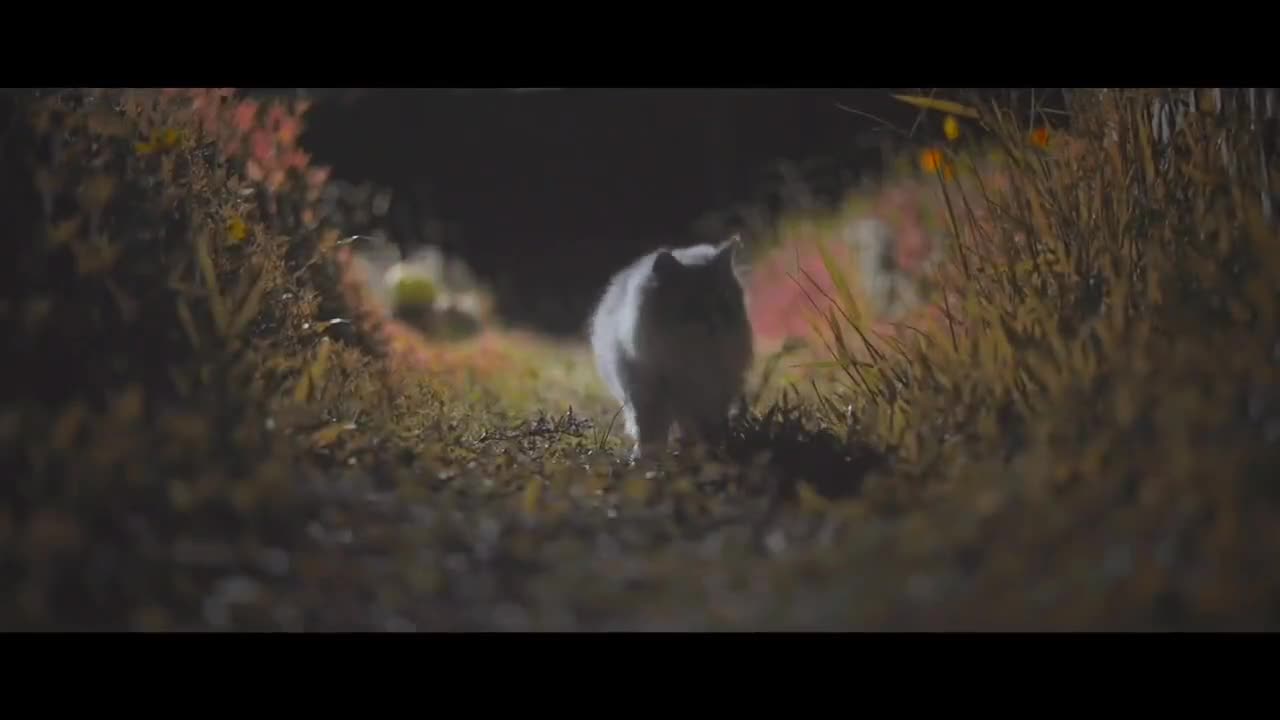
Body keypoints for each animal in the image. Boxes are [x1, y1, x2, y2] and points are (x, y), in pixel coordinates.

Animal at [591, 235, 757, 458]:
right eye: (691, 304)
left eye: (723, 302)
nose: (714, 324)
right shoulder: (647, 393)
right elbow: (649, 432)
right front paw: (645, 457)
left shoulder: (712, 394)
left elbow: (709, 429)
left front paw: (710, 453)